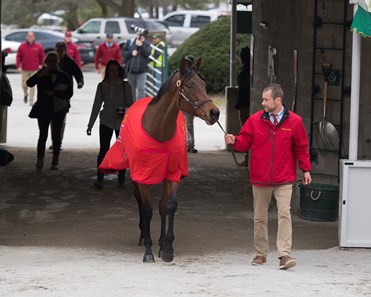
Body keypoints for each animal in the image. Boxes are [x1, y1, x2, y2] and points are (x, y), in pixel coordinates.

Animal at [99, 55, 221, 262]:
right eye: (189, 85)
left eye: (204, 84)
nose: (215, 113)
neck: (159, 131)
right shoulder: (142, 175)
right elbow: (147, 210)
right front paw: (148, 250)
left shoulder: (173, 174)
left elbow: (168, 206)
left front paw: (167, 247)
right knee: (140, 203)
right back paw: (143, 236)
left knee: (163, 205)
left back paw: (162, 242)